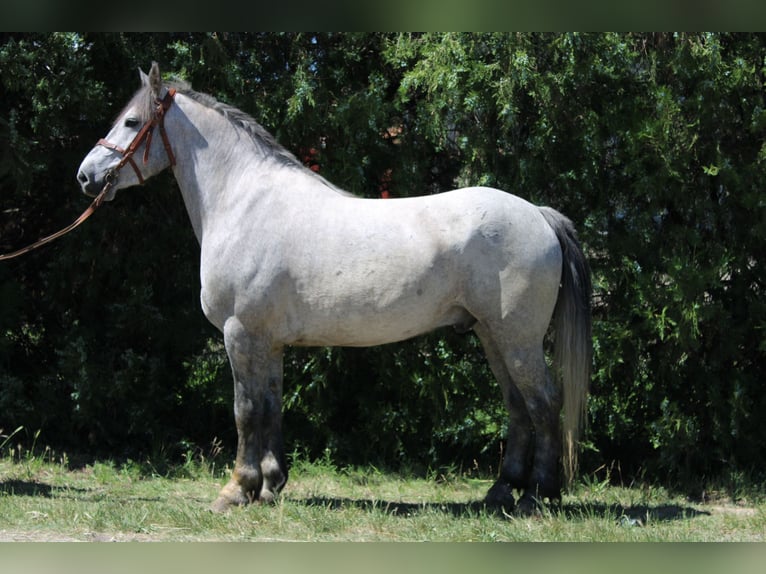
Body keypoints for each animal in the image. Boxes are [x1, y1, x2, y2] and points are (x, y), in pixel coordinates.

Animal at [76, 62, 592, 514]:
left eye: (132, 121)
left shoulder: (240, 334)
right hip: (490, 335)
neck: (245, 201)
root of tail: (538, 213)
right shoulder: (267, 341)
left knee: (544, 404)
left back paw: (535, 496)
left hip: (517, 337)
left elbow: (246, 410)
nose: (86, 175)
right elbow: (270, 406)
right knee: (518, 407)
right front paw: (270, 486)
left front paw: (236, 490)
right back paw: (501, 492)